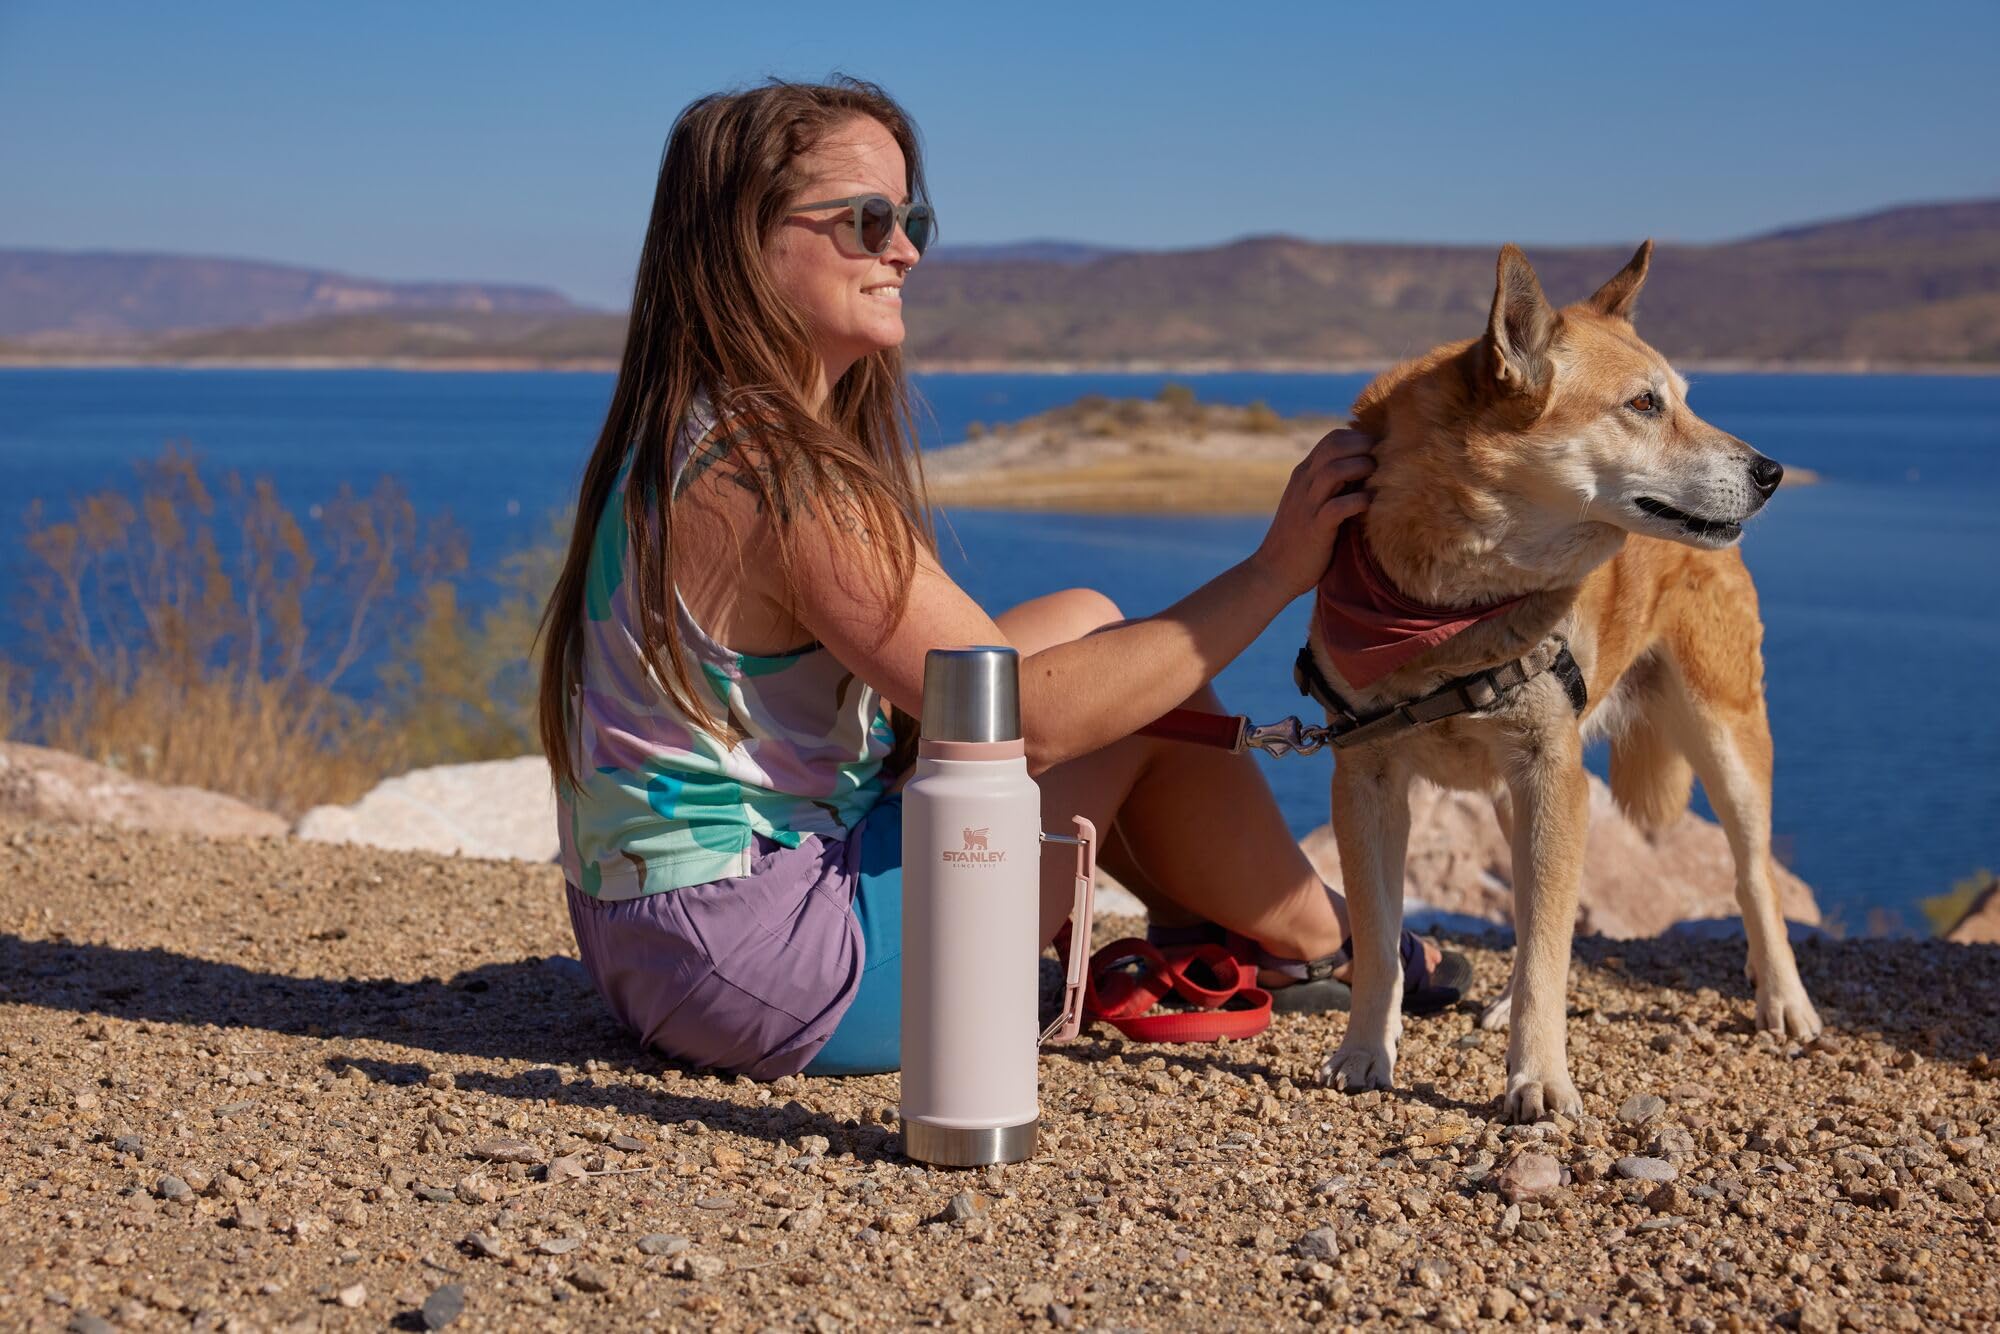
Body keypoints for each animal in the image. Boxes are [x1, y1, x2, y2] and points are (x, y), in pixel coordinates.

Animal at [1312, 237, 1832, 1120]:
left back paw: (1784, 1001)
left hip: (1724, 739)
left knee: (1752, 875)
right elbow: (1382, 942)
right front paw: (1364, 1052)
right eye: (1644, 404)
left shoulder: (1551, 774)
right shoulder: (1368, 778)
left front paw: (1540, 1078)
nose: (1772, 471)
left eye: (1681, 398)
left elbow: (1549, 954)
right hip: (1509, 792)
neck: (1452, 606)